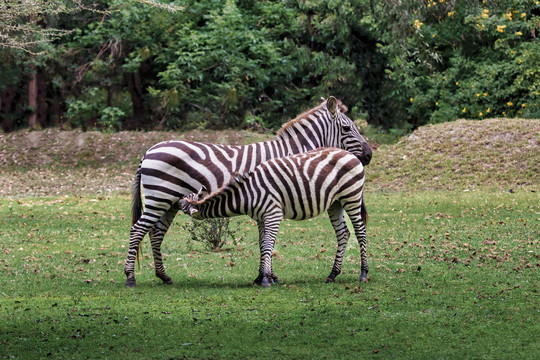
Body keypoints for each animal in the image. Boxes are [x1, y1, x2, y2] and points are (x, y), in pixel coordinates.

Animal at [180, 146, 368, 286]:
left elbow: (268, 245)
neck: (248, 194)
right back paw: (332, 274)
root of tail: (349, 153)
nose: (177, 201)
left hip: (351, 196)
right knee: (343, 233)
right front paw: (264, 277)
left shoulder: (273, 214)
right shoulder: (261, 218)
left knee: (360, 232)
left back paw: (363, 273)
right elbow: (263, 245)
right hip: (335, 203)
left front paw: (265, 279)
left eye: (185, 201)